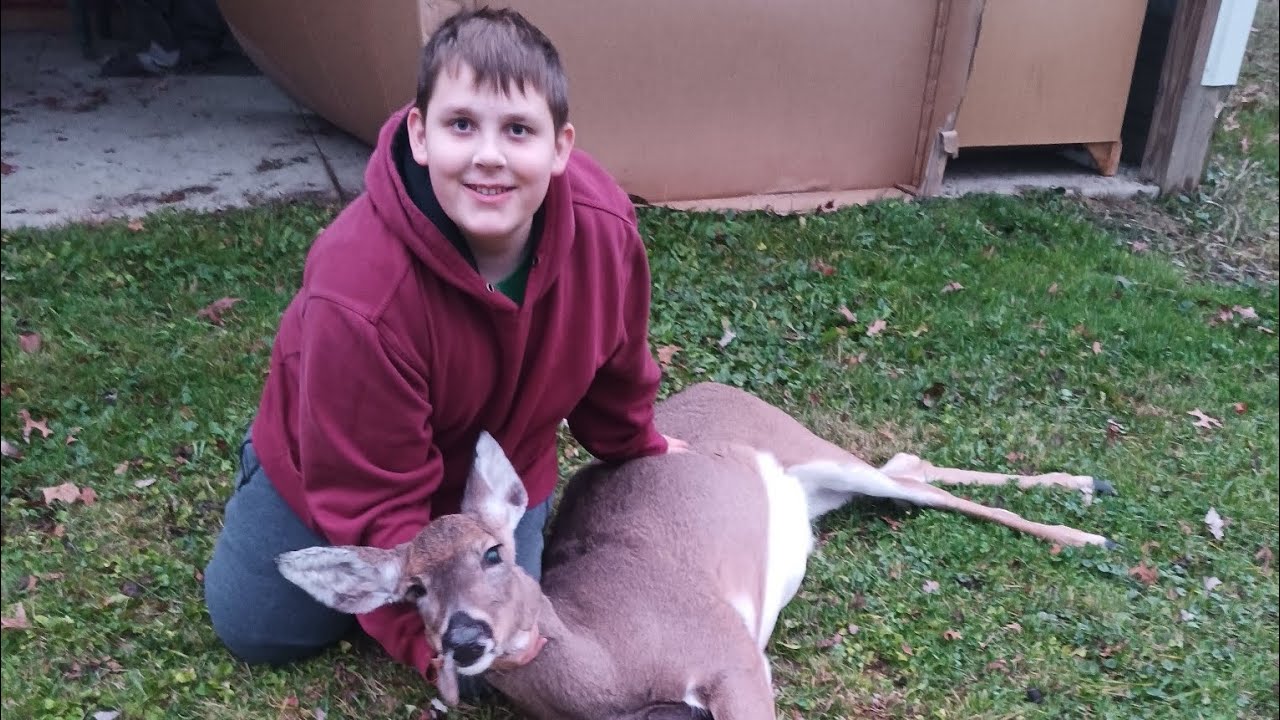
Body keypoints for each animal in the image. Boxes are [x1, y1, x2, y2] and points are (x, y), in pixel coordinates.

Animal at [276, 382, 1113, 719]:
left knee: (916, 479)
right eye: (412, 590)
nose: (465, 638)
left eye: (495, 553)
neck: (617, 660)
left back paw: (1085, 514)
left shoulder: (732, 653)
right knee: (910, 466)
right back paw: (1084, 492)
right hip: (819, 490)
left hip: (806, 444)